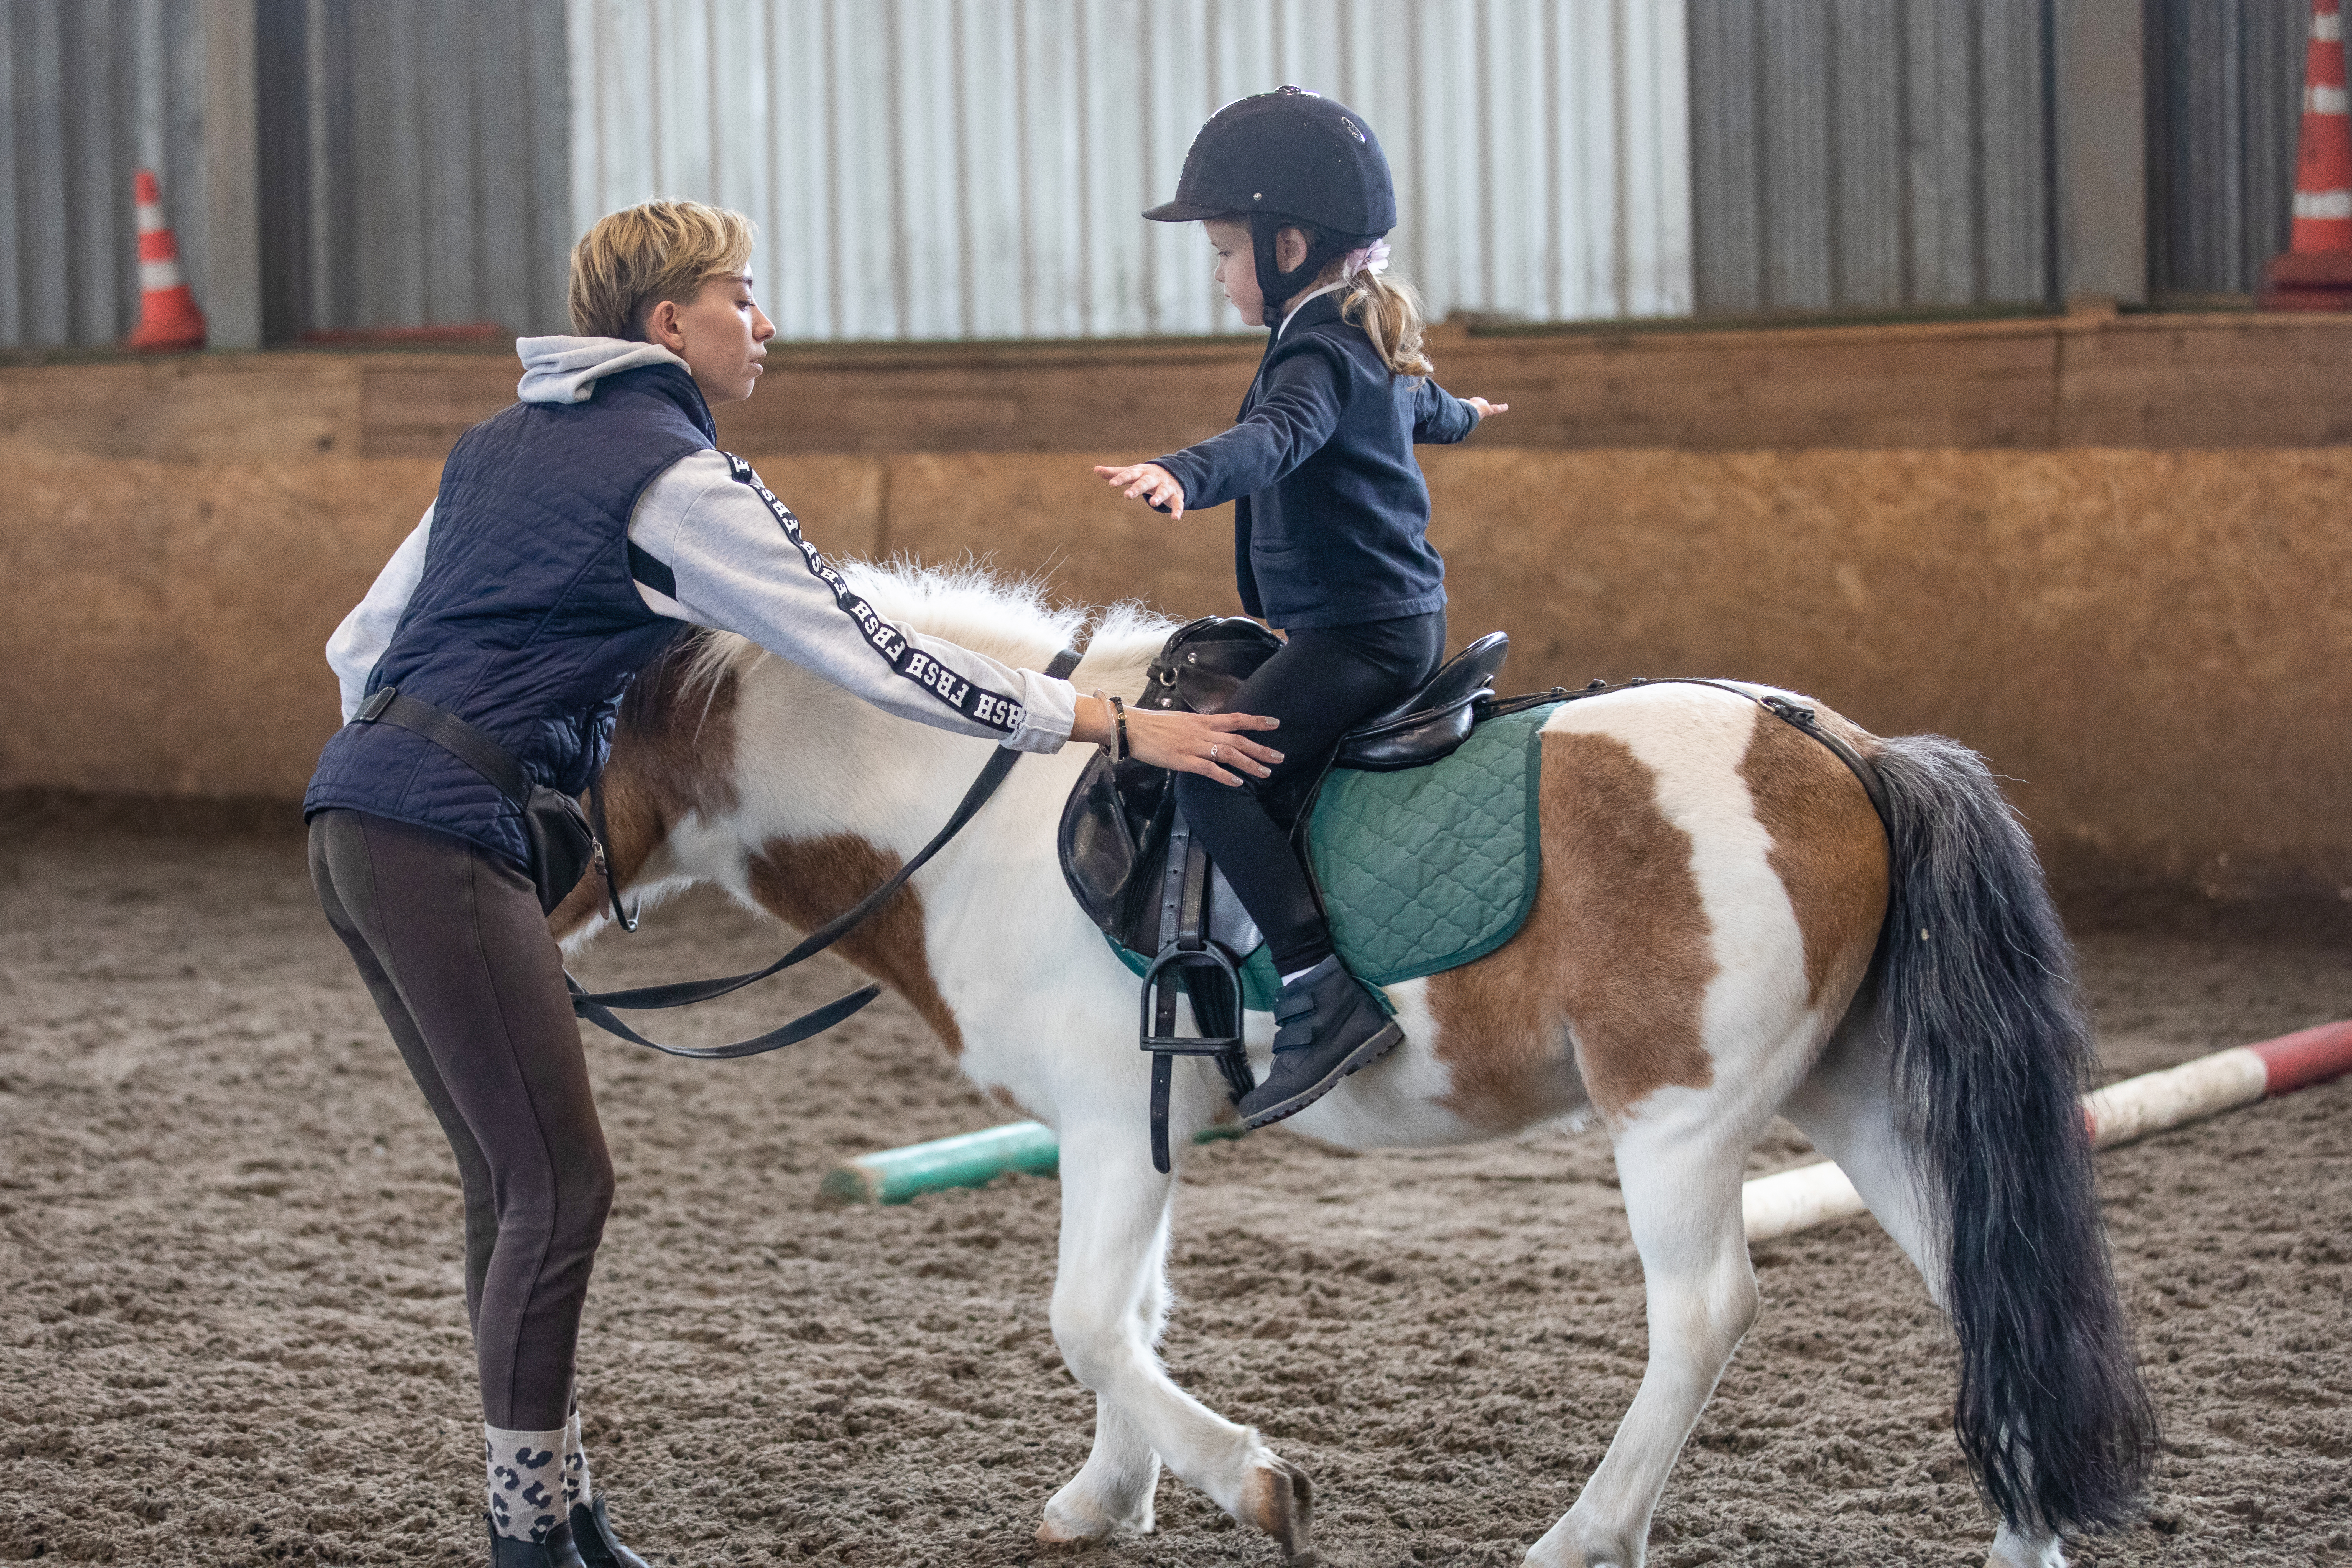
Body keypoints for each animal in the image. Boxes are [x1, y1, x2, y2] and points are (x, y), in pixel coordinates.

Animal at [550, 564, 2154, 1568]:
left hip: (1679, 1115)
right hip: (1859, 1097)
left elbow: (1087, 1317)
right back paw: (2021, 1532)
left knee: (1704, 1312)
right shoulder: (1139, 1128)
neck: (975, 810)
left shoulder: (1107, 1120)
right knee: (1980, 1271)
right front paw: (1106, 1494)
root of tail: (1833, 745)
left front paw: (1248, 1483)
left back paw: (1585, 1531)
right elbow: (1130, 1311)